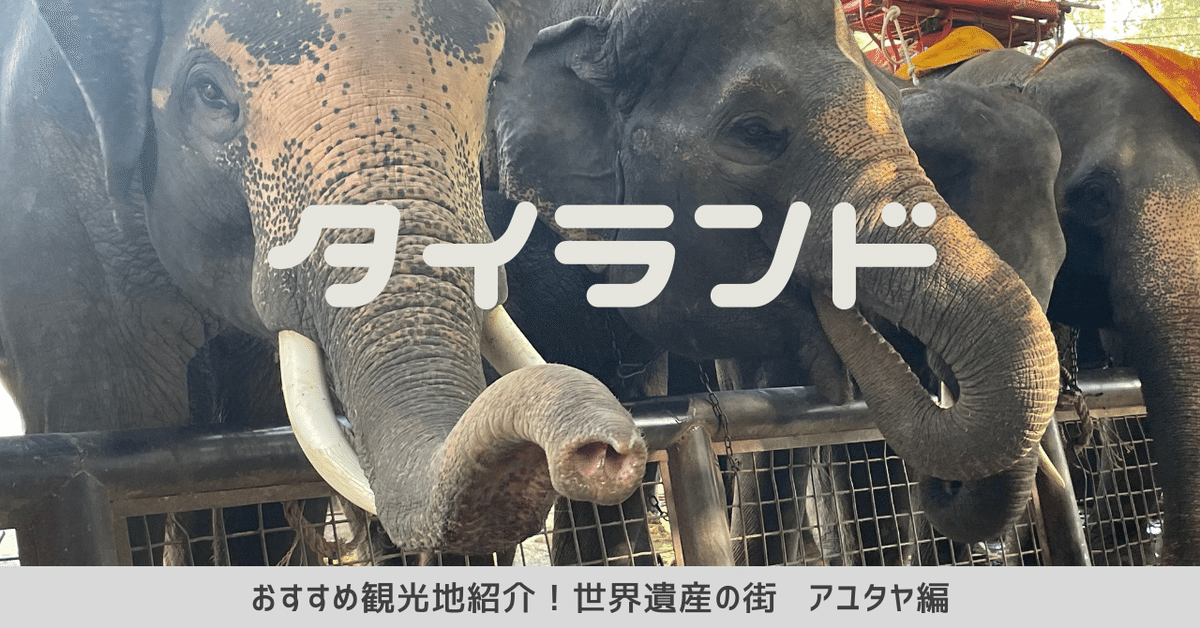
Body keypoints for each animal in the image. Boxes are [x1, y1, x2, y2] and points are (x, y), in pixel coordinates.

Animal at [0, 0, 649, 563]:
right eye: (208, 92)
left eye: (491, 86)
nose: (606, 452)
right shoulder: (55, 219)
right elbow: (114, 425)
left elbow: (250, 477)